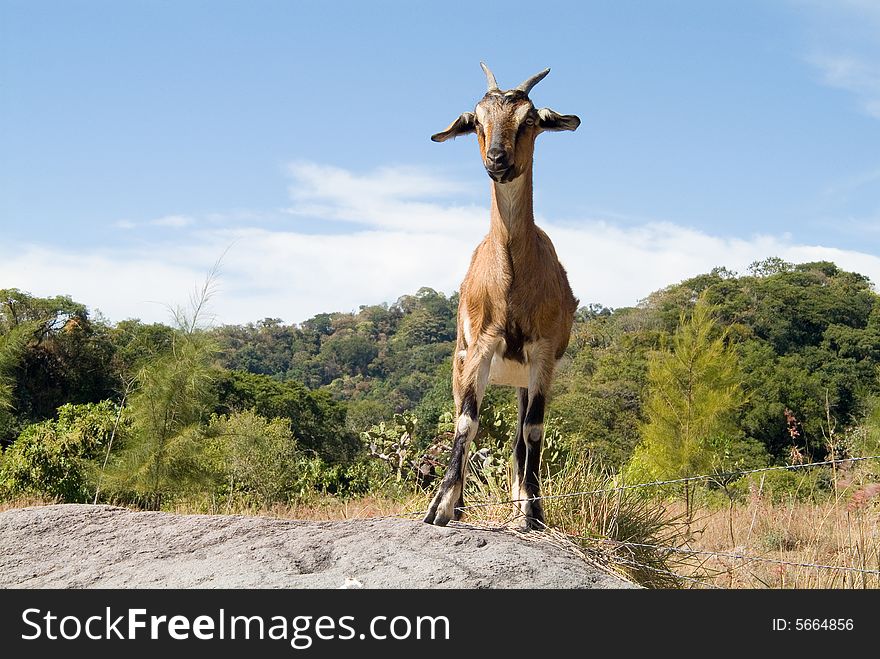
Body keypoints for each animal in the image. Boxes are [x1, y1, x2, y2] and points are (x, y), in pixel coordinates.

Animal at [422, 63, 580, 532]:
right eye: (476, 121)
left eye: (529, 120)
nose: (497, 159)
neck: (510, 280)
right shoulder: (481, 347)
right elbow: (466, 423)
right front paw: (440, 508)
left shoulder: (542, 354)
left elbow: (533, 432)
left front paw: (534, 513)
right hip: (463, 364)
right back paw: (458, 505)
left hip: (523, 378)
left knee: (518, 441)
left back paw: (520, 503)